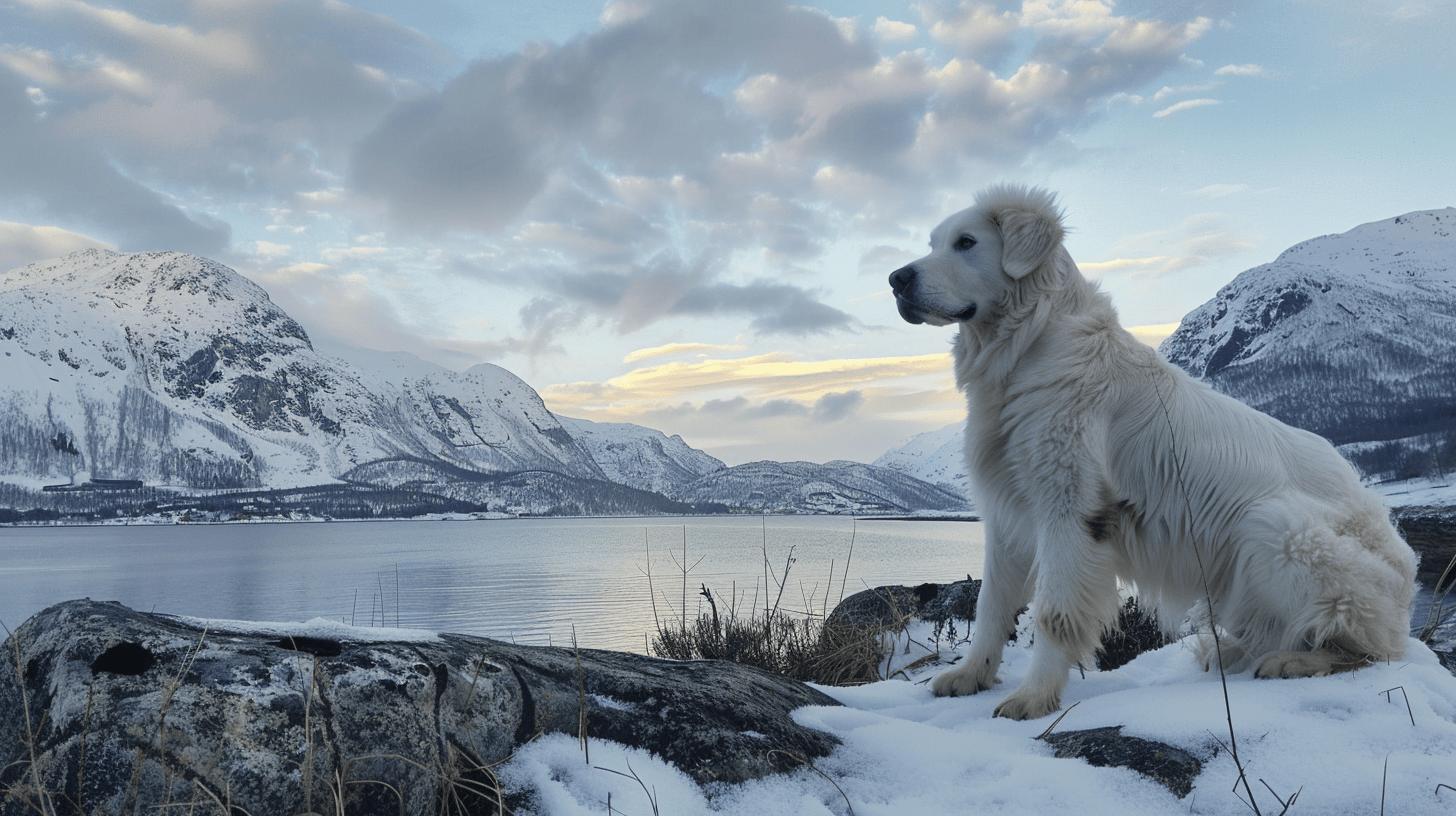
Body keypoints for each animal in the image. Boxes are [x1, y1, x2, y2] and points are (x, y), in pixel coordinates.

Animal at [891, 186, 1415, 719]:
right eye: (934, 244)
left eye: (967, 242)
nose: (896, 279)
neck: (1030, 346)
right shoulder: (1006, 513)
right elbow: (991, 606)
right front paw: (971, 675)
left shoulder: (1069, 509)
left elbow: (1053, 614)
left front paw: (1035, 697)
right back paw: (1236, 652)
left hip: (1277, 529)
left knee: (1374, 649)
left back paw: (1294, 661)